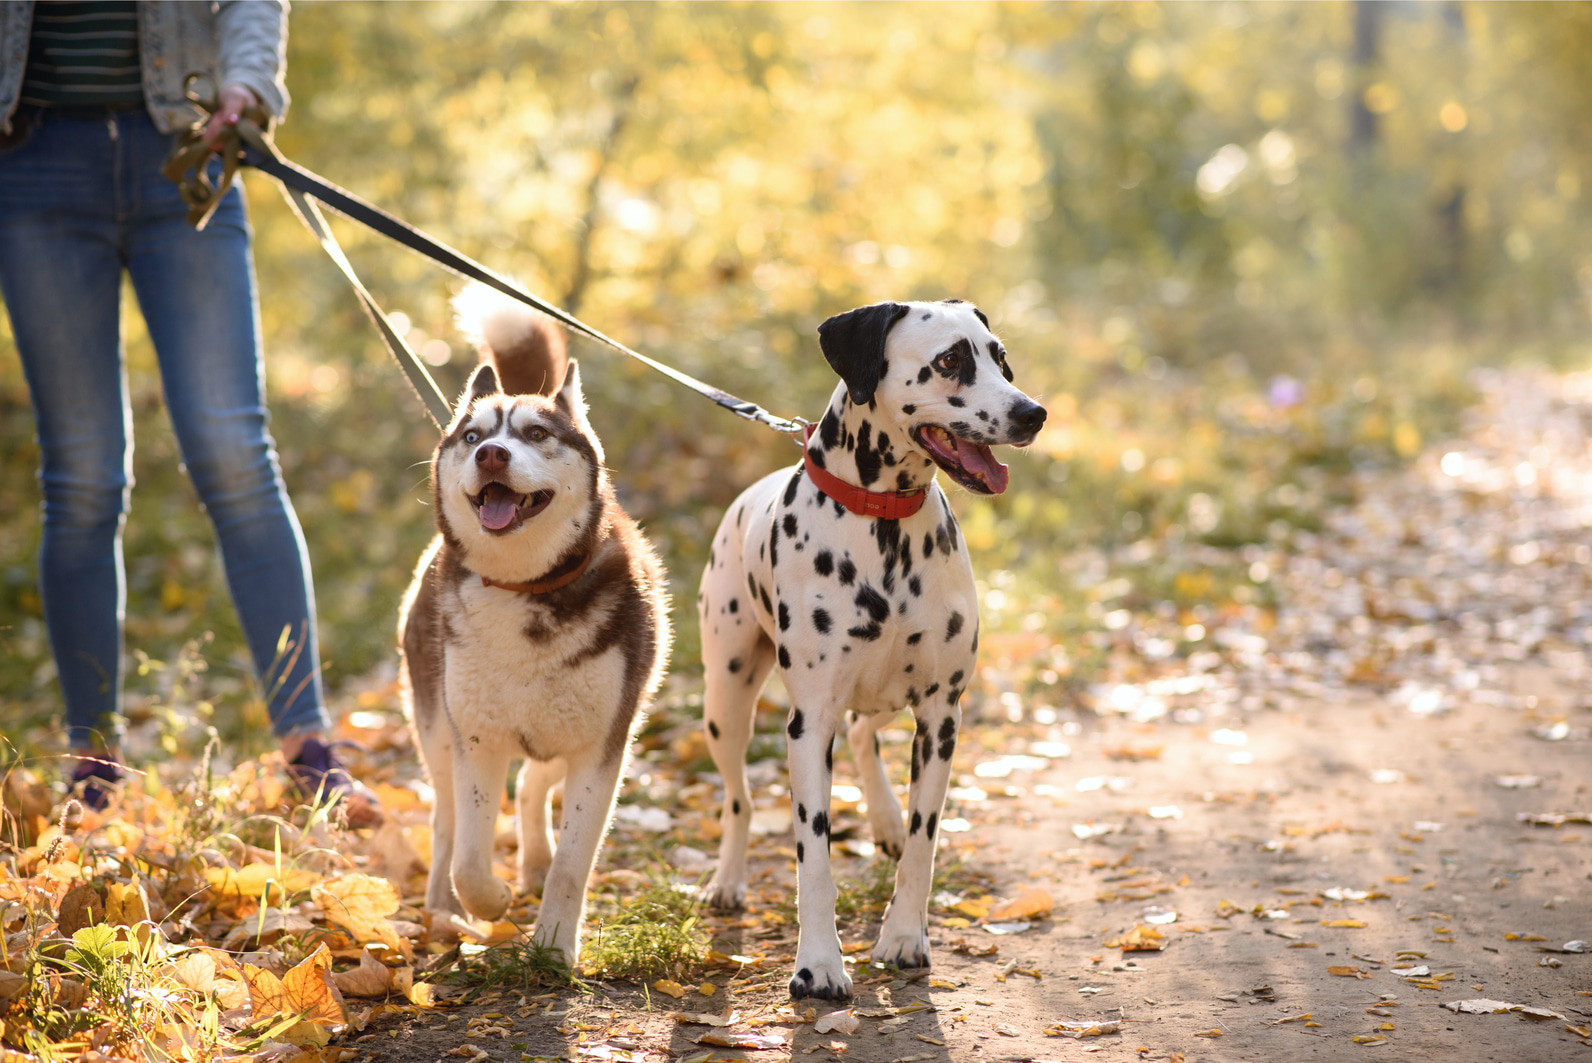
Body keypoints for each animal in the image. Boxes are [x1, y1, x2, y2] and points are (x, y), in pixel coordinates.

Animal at [404, 294, 671, 967]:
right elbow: (471, 856)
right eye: (473, 436)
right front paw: (489, 903)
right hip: (436, 726)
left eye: (536, 434)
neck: (525, 590)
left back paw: (534, 863)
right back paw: (441, 908)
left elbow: (576, 861)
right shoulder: (476, 740)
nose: (490, 455)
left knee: (532, 786)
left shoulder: (603, 746)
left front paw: (553, 946)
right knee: (446, 822)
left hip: (569, 727)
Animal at [703, 297, 1050, 999]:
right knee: (739, 798)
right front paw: (818, 965)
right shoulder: (810, 723)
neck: (883, 525)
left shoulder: (941, 716)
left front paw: (904, 937)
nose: (1032, 412)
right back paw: (728, 879)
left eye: (1000, 357)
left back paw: (886, 820)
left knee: (866, 735)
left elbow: (924, 841)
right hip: (725, 701)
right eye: (950, 360)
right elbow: (813, 855)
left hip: (889, 698)